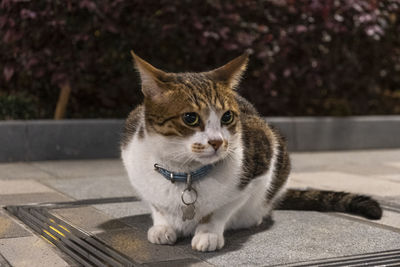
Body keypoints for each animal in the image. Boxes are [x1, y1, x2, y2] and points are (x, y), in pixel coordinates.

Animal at [120, 50, 382, 253]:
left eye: (227, 116)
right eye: (190, 118)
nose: (217, 142)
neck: (186, 172)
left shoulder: (260, 168)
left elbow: (221, 210)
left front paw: (208, 232)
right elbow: (158, 206)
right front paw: (163, 226)